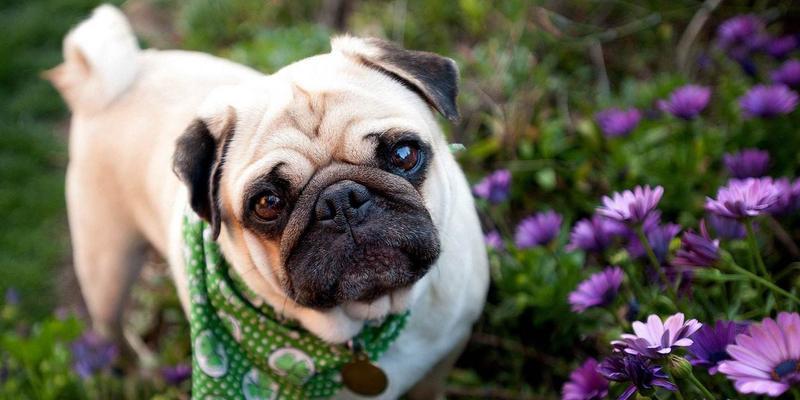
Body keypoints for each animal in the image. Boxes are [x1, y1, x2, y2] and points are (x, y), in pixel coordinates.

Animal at [50, 4, 490, 398]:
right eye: (267, 203)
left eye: (403, 155)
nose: (341, 201)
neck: (366, 319)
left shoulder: (446, 351)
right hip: (107, 265)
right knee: (109, 328)